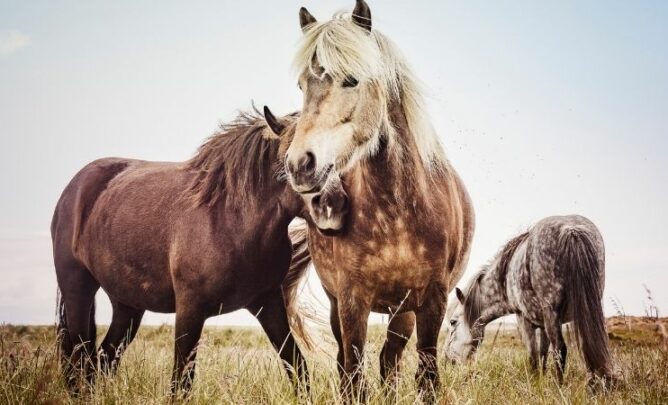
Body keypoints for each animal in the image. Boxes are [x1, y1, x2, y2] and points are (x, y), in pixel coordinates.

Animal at [50, 107, 340, 394]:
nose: (336, 205)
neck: (231, 220)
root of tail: (73, 188)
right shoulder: (190, 309)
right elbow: (181, 381)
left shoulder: (268, 303)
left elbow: (297, 366)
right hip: (78, 291)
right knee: (80, 359)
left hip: (127, 305)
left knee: (103, 358)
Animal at [280, 0, 478, 398]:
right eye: (301, 84)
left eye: (352, 79)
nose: (299, 165)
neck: (396, 214)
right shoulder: (352, 300)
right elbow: (354, 376)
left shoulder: (433, 300)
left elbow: (427, 375)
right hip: (340, 304)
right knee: (350, 363)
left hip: (403, 311)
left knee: (390, 360)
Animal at [446, 213, 612, 384]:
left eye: (453, 322)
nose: (448, 360)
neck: (504, 279)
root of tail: (571, 230)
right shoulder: (543, 325)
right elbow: (543, 354)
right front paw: (541, 381)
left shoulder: (524, 319)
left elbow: (533, 357)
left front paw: (534, 383)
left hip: (552, 313)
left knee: (560, 349)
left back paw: (560, 387)